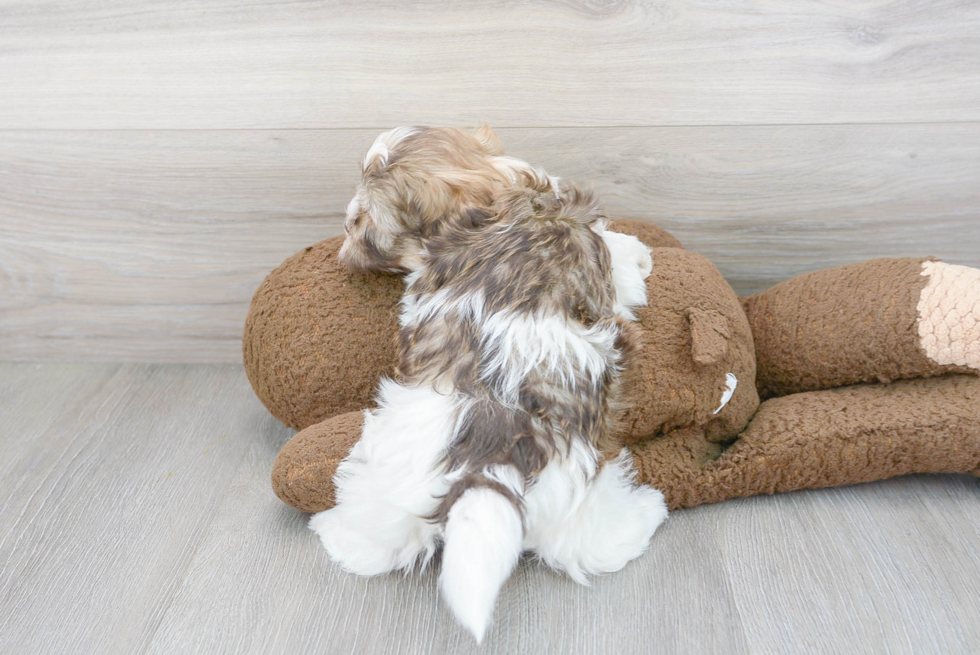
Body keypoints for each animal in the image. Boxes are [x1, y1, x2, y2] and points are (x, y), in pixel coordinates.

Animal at [312, 125, 668, 644]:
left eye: (364, 223)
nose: (345, 236)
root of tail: (490, 450)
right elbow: (621, 259)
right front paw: (640, 255)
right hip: (578, 487)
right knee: (587, 545)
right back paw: (646, 514)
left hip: (391, 471)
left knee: (376, 532)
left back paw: (333, 532)